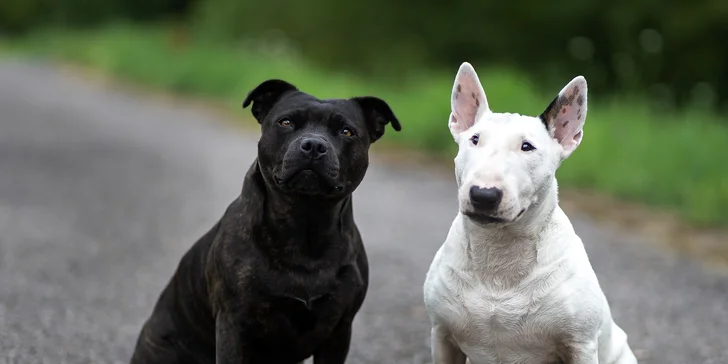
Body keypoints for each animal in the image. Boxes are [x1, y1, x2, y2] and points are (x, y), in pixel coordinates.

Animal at [131, 79, 404, 364]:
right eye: (286, 122)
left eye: (347, 131)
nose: (314, 145)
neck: (305, 223)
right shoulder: (233, 326)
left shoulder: (339, 331)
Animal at [420, 63, 636, 364]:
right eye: (474, 139)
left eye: (527, 147)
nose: (483, 195)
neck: (499, 253)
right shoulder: (441, 335)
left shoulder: (580, 344)